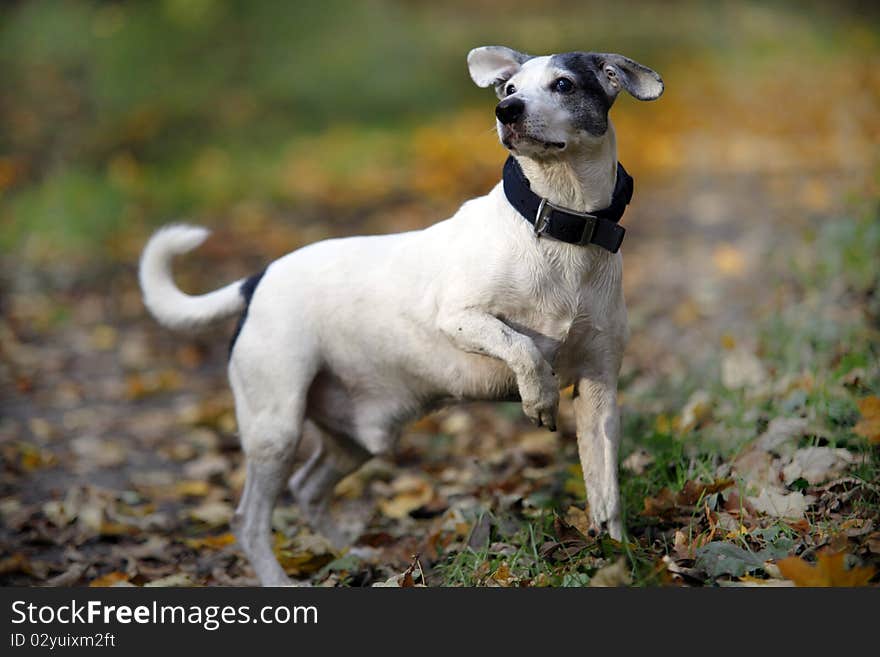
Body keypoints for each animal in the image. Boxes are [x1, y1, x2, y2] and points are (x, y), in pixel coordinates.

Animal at [139, 46, 660, 584]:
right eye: (510, 89)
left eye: (563, 84)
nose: (506, 111)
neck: (562, 226)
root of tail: (257, 279)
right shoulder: (458, 317)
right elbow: (522, 347)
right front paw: (539, 396)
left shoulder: (599, 392)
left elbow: (605, 491)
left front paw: (616, 554)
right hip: (275, 428)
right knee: (248, 520)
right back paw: (280, 577)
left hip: (354, 440)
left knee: (307, 487)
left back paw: (350, 553)